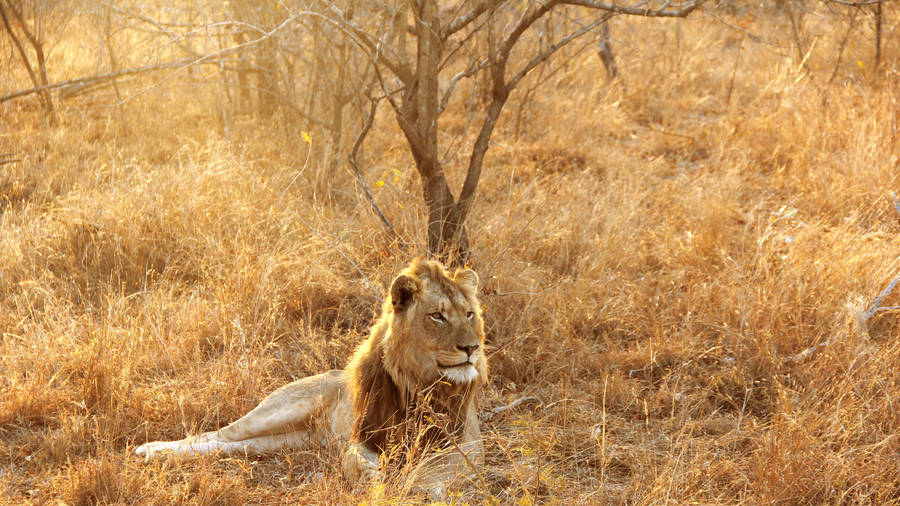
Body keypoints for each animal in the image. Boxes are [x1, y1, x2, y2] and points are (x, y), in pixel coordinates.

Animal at [135, 259, 487, 491]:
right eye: (437, 316)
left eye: (470, 314)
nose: (472, 347)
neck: (421, 381)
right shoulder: (364, 437)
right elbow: (353, 460)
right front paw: (376, 479)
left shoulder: (468, 444)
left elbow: (435, 469)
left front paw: (413, 484)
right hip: (279, 410)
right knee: (215, 434)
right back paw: (150, 450)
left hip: (287, 440)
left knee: (233, 446)